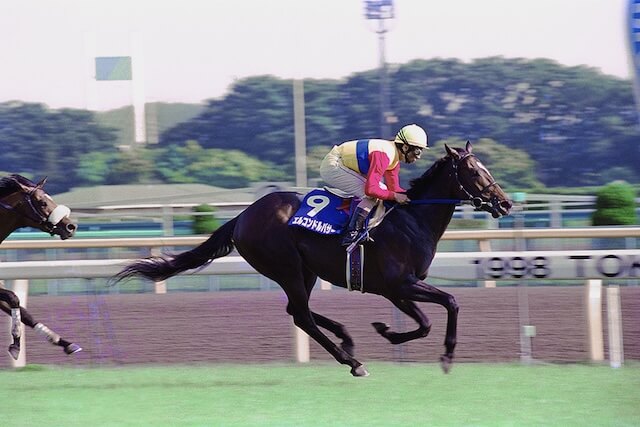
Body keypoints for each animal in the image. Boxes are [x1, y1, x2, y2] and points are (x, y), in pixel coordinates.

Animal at [0, 174, 82, 359]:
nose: (71, 226)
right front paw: (16, 344)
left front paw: (64, 342)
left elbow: (25, 314)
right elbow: (14, 298)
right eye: (42, 202)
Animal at [114, 142, 512, 376]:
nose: (505, 203)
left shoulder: (396, 289)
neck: (411, 220)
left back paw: (346, 339)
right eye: (474, 171)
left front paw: (387, 331)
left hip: (304, 271)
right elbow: (448, 304)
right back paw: (352, 361)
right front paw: (443, 355)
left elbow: (428, 320)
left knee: (297, 310)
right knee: (301, 314)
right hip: (286, 266)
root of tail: (242, 216)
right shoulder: (400, 284)